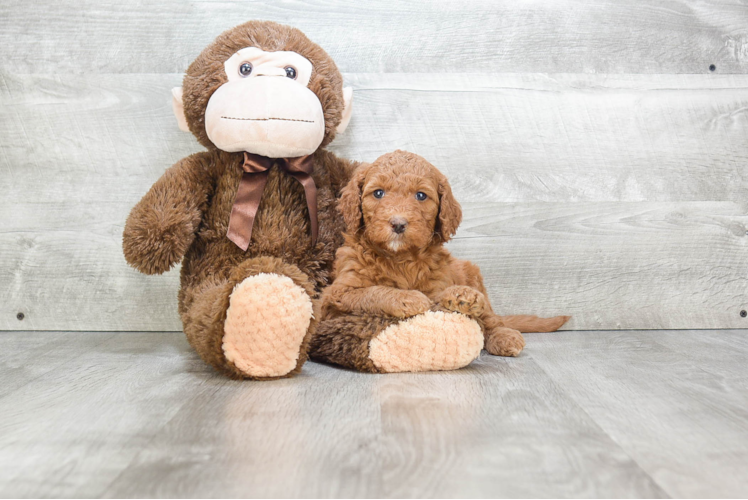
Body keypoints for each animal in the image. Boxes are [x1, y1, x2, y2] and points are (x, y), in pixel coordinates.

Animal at [312, 149, 568, 372]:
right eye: (378, 193)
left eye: (421, 195)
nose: (398, 223)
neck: (400, 258)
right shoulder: (335, 297)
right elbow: (371, 292)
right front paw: (407, 298)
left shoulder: (438, 281)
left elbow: (441, 299)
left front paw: (461, 296)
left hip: (470, 271)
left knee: (491, 318)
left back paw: (504, 335)